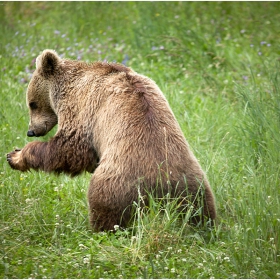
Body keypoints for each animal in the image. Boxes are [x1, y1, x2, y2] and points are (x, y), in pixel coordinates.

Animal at [7, 49, 217, 231]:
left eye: (32, 104)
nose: (31, 131)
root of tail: (161, 184)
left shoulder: (84, 109)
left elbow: (71, 148)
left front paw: (16, 156)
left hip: (118, 182)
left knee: (105, 205)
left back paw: (100, 229)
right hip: (191, 183)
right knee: (199, 210)